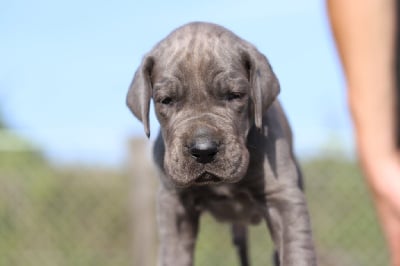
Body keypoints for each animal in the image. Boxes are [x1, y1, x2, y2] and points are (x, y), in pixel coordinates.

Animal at [126, 21, 318, 264]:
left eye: (235, 95)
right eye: (166, 100)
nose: (203, 151)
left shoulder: (283, 197)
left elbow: (296, 251)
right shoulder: (174, 206)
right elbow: (174, 255)